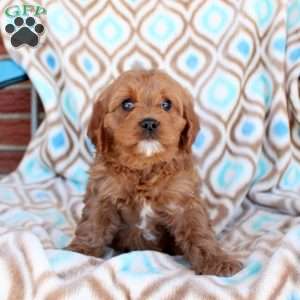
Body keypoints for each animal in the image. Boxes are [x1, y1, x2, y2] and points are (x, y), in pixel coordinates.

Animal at [67, 70, 241, 276]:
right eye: (127, 104)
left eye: (166, 105)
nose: (149, 123)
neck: (145, 167)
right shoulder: (102, 194)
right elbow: (92, 224)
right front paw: (80, 251)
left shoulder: (184, 201)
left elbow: (199, 233)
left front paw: (216, 261)